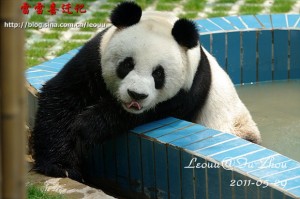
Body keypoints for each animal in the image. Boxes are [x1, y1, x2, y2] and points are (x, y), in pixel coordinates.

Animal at [32, 1, 260, 182]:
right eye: (127, 64)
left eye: (158, 74)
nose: (136, 95)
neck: (164, 21)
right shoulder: (94, 57)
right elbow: (63, 95)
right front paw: (60, 166)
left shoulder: (188, 89)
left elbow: (139, 115)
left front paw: (86, 126)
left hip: (236, 126)